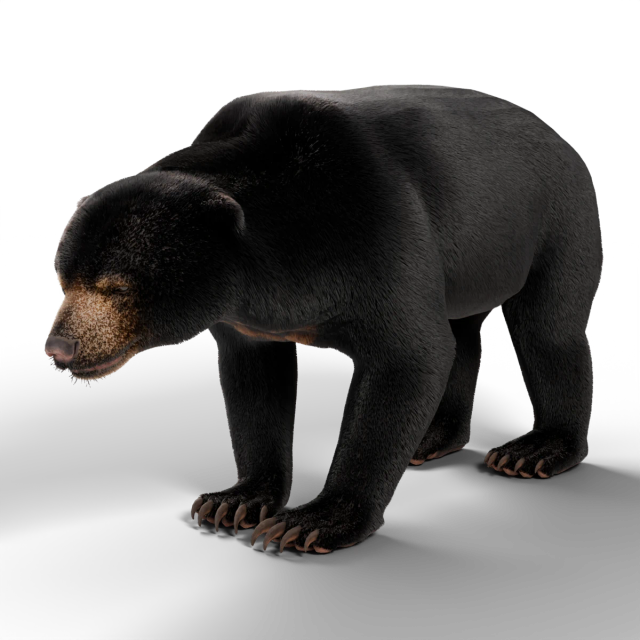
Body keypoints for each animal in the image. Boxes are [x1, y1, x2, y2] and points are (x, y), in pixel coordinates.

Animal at [46, 83, 603, 553]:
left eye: (117, 287)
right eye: (64, 279)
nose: (60, 347)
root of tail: (559, 135)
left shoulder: (380, 229)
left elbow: (408, 357)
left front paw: (311, 522)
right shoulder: (245, 320)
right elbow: (254, 382)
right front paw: (232, 500)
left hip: (555, 222)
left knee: (547, 330)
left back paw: (534, 450)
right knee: (464, 334)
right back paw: (435, 436)